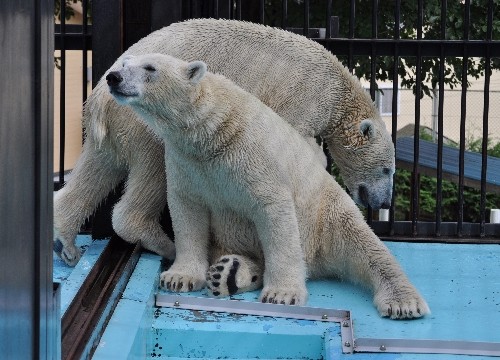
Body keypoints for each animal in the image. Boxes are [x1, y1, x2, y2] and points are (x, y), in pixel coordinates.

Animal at [51, 19, 394, 268]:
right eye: (387, 170)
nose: (385, 202)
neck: (338, 90)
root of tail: (99, 97)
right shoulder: (303, 99)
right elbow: (295, 144)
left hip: (108, 130)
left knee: (96, 168)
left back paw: (64, 242)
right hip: (144, 121)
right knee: (154, 167)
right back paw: (166, 244)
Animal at [106, 52, 430, 320]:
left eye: (150, 68)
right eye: (123, 63)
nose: (113, 77)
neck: (215, 128)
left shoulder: (254, 156)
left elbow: (274, 214)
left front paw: (282, 294)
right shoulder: (186, 162)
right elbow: (188, 212)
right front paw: (179, 277)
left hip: (327, 215)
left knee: (364, 245)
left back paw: (403, 302)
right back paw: (229, 273)